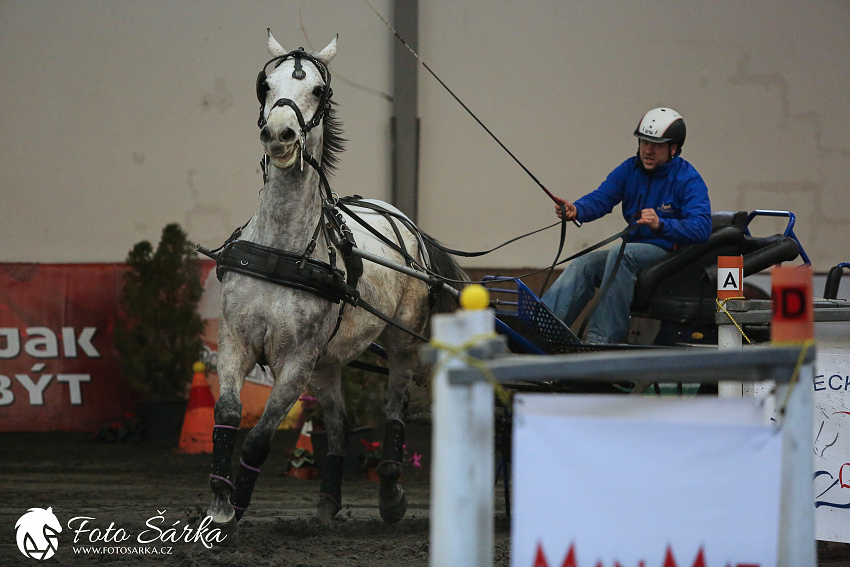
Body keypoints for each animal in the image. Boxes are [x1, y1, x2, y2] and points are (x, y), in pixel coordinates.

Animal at [206, 32, 464, 532]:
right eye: (264, 85)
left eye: (319, 91)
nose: (280, 134)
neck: (282, 249)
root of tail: (407, 224)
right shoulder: (235, 342)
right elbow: (227, 415)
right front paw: (219, 501)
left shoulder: (296, 361)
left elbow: (260, 437)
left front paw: (238, 501)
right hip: (326, 362)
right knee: (340, 424)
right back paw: (327, 502)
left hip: (400, 342)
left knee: (395, 408)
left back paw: (390, 493)